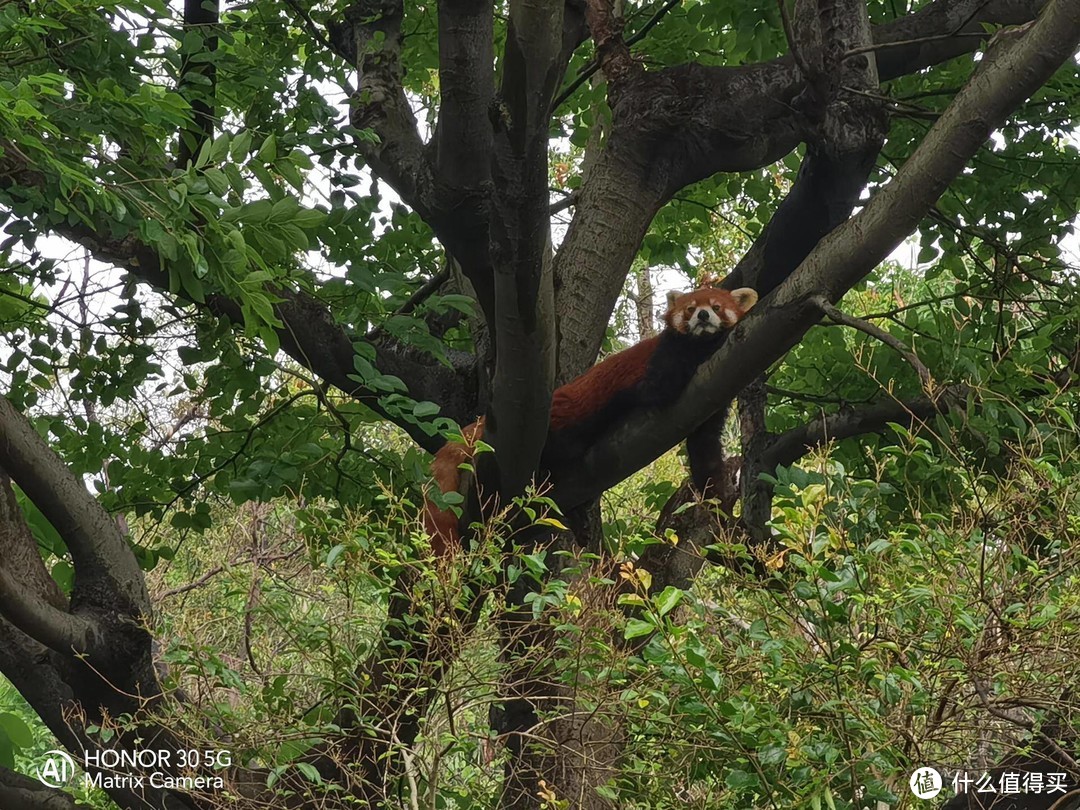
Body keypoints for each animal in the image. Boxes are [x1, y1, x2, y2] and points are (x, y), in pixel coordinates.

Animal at [421, 285, 760, 557]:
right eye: (690, 309)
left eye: (716, 306)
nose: (702, 316)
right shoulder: (663, 360)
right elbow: (660, 388)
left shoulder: (710, 403)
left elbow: (705, 448)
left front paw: (714, 492)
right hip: (562, 423)